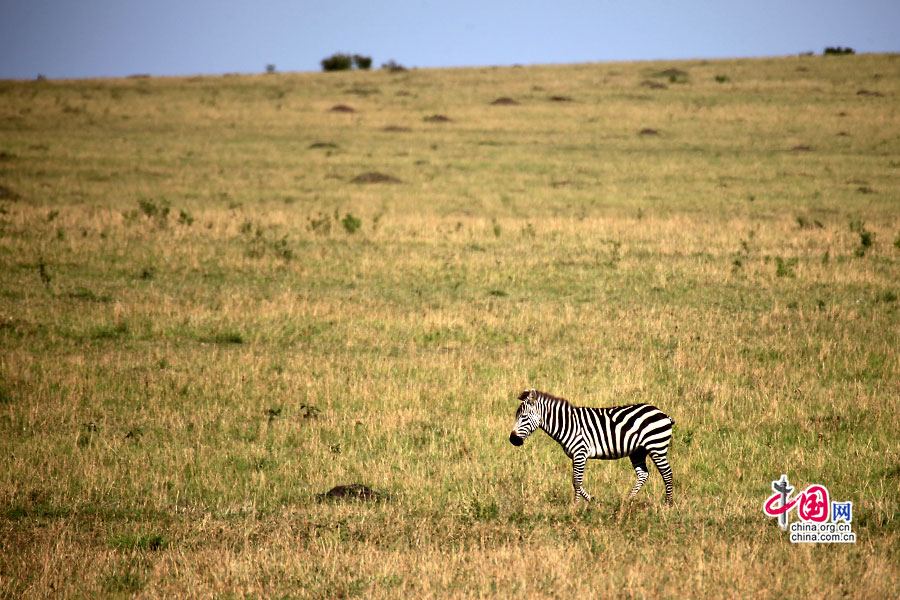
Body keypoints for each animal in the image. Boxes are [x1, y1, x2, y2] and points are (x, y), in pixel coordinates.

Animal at [510, 386, 672, 504]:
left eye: (524, 417)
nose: (512, 440)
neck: (568, 424)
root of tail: (662, 413)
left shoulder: (580, 452)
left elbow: (576, 481)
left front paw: (575, 505)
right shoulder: (575, 456)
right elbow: (575, 481)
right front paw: (592, 501)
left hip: (656, 447)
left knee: (667, 473)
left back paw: (668, 504)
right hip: (638, 451)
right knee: (643, 474)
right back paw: (627, 500)